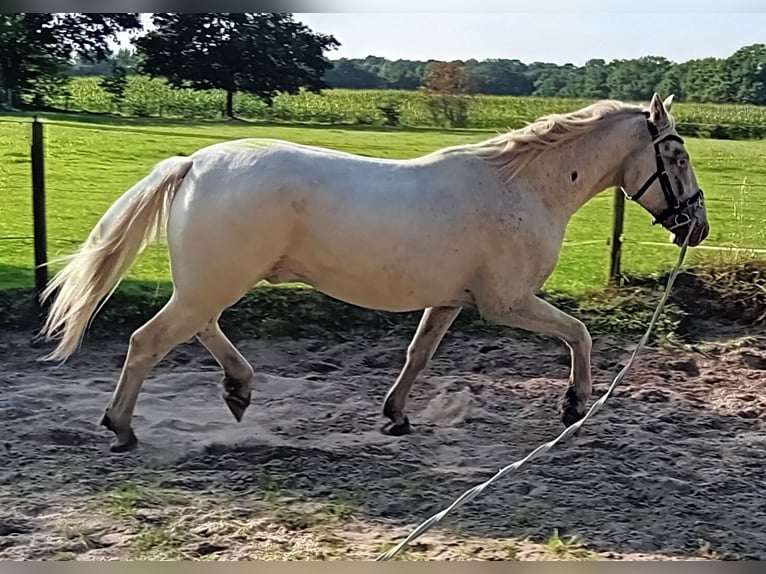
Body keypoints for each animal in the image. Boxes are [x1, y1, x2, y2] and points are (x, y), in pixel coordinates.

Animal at [40, 94, 712, 454]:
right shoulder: (508, 302)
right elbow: (579, 333)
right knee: (148, 341)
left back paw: (238, 389)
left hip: (213, 282)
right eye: (677, 155)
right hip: (215, 282)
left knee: (197, 329)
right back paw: (122, 428)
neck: (521, 189)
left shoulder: (450, 301)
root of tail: (194, 162)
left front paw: (396, 415)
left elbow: (418, 355)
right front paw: (575, 405)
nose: (697, 227)